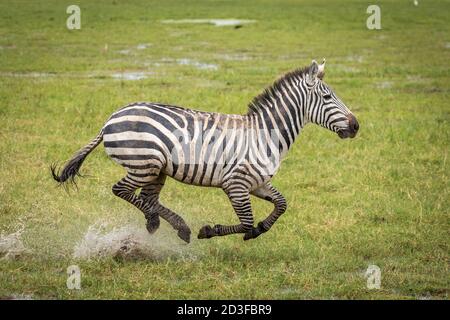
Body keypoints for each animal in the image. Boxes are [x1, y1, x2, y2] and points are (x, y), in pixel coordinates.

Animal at [51, 60, 358, 244]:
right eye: (328, 97)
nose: (356, 126)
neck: (264, 133)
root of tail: (110, 119)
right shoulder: (236, 184)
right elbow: (246, 222)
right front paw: (211, 231)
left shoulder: (258, 183)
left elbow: (281, 205)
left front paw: (261, 228)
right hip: (144, 164)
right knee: (122, 190)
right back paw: (174, 225)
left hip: (156, 170)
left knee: (147, 199)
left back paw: (166, 224)